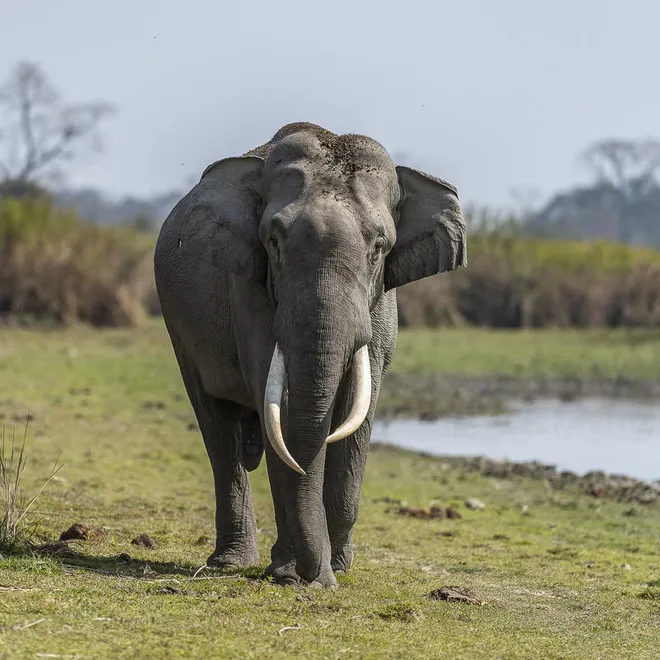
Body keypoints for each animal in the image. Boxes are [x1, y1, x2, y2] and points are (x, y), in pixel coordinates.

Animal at [154, 122, 467, 587]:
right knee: (217, 428)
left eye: (379, 247)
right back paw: (231, 563)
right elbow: (280, 412)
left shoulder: (381, 305)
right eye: (273, 242)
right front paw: (295, 575)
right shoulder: (250, 291)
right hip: (178, 326)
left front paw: (334, 570)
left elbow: (359, 411)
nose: (314, 576)